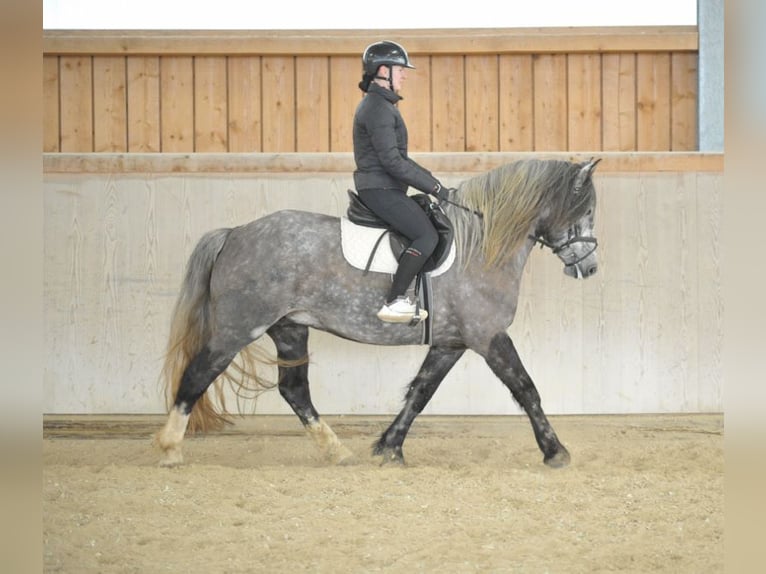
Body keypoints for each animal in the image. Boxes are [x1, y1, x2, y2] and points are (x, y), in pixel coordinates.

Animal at [154, 156, 600, 468]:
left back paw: (336, 451)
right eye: (587, 211)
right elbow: (527, 389)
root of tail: (235, 233)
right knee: (197, 375)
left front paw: (389, 448)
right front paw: (556, 452)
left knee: (295, 390)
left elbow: (420, 393)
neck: (481, 246)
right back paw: (171, 449)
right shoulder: (487, 336)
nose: (590, 267)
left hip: (289, 327)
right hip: (239, 328)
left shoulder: (451, 343)